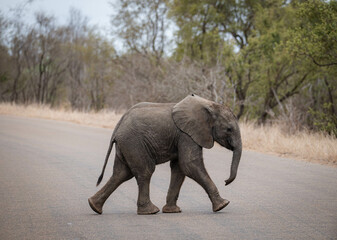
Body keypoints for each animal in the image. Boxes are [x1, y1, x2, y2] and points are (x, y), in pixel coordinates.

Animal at [88, 94, 242, 214]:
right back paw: (150, 211)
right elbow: (189, 164)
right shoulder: (186, 134)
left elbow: (179, 168)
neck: (208, 105)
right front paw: (223, 205)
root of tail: (118, 125)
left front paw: (173, 211)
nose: (226, 181)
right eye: (229, 129)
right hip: (133, 142)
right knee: (145, 171)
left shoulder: (184, 135)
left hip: (126, 145)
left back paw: (94, 206)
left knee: (121, 173)